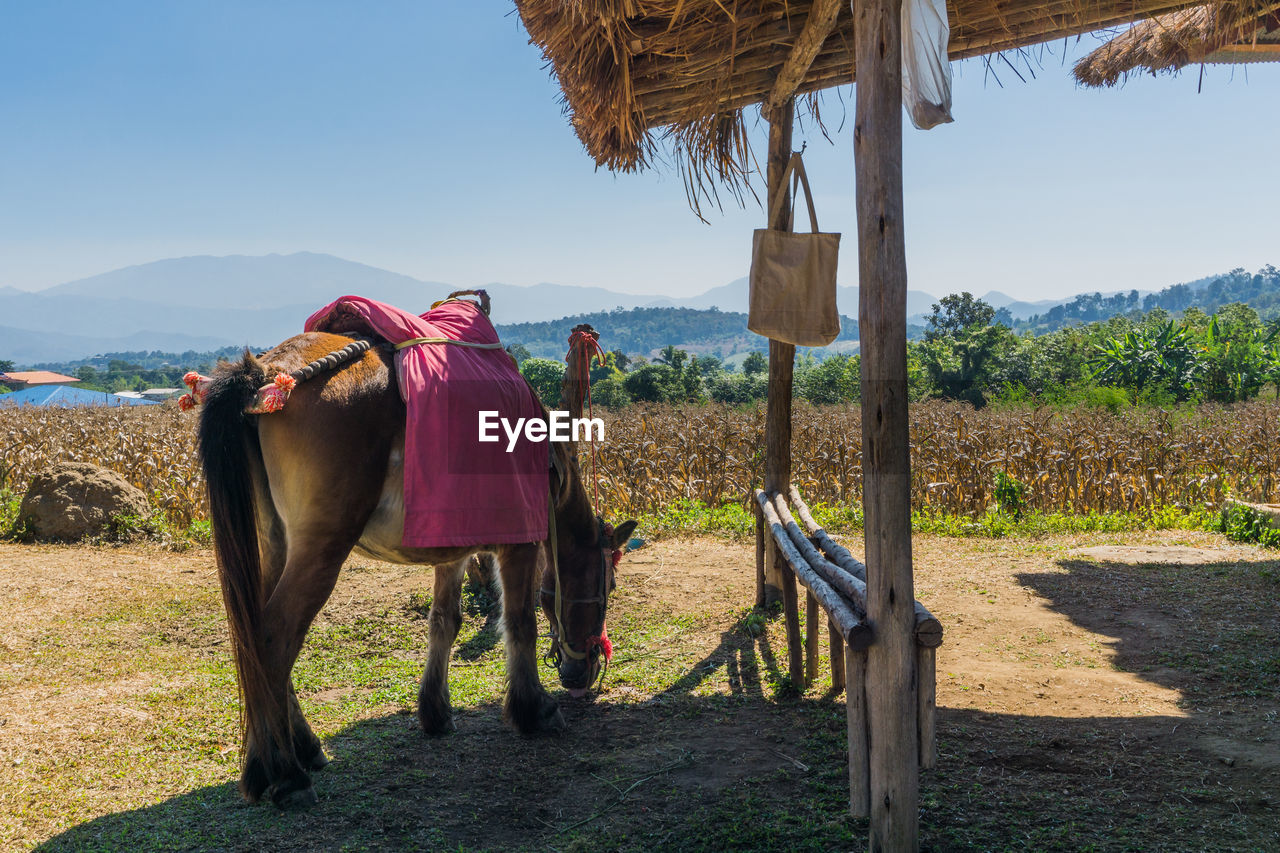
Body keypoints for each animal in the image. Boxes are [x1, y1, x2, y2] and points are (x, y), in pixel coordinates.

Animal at [197, 327, 632, 809]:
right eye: (609, 586)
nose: (584, 672)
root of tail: (267, 372)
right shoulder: (520, 543)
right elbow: (520, 622)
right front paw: (532, 708)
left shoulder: (452, 548)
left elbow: (445, 621)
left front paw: (435, 711)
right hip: (319, 549)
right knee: (273, 638)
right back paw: (287, 774)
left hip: (275, 544)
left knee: (257, 640)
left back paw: (287, 754)